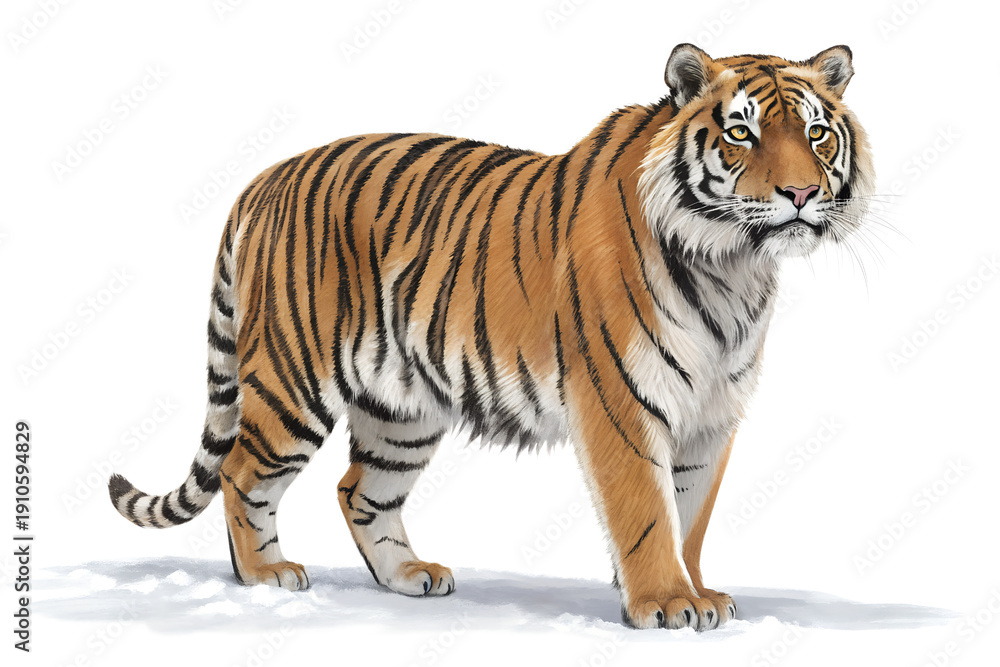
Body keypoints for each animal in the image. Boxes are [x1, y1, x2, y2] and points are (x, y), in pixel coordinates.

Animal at [108, 43, 874, 630]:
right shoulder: (621, 402)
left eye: (817, 135)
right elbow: (647, 512)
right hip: (294, 382)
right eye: (741, 133)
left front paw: (695, 590)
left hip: (402, 409)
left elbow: (688, 513)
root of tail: (265, 178)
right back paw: (264, 574)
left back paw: (408, 575)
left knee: (359, 488)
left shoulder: (712, 414)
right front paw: (664, 603)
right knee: (242, 471)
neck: (733, 266)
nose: (801, 195)